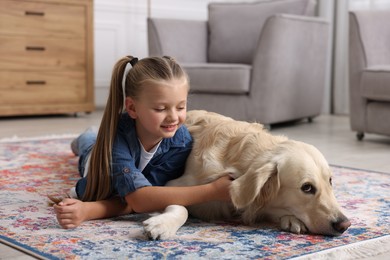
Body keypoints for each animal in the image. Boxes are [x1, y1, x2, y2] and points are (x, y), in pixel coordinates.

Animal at [143, 109, 350, 240]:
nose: (345, 224)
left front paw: (291, 219)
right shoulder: (173, 185)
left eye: (330, 181)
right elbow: (181, 207)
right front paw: (161, 225)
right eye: (307, 187)